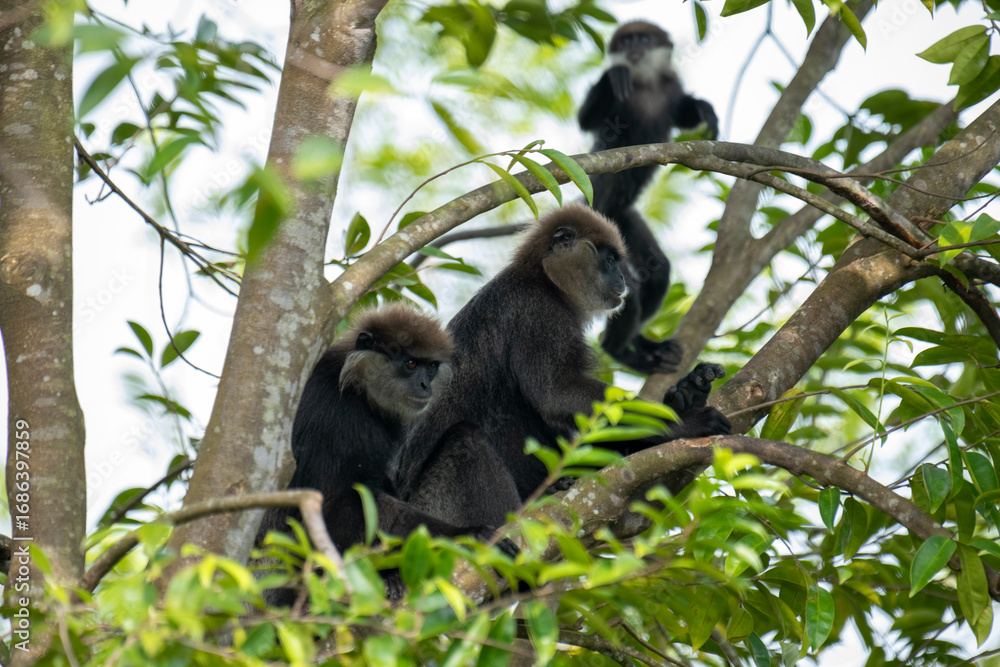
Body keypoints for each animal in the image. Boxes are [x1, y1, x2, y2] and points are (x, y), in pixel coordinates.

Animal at [255, 303, 514, 604]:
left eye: (431, 367)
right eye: (410, 364)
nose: (425, 386)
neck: (357, 390)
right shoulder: (333, 415)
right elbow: (344, 496)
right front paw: (468, 534)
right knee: (351, 499)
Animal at [389, 204, 731, 530]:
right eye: (610, 260)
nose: (623, 279)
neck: (544, 280)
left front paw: (687, 394)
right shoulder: (539, 314)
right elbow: (557, 394)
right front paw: (685, 421)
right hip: (435, 505)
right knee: (466, 442)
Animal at [578, 20, 719, 375]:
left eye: (642, 39)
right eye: (626, 41)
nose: (633, 49)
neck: (646, 84)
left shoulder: (670, 85)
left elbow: (684, 113)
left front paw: (703, 107)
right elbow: (587, 119)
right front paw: (613, 76)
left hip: (624, 220)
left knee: (658, 272)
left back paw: (644, 345)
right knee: (629, 293)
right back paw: (619, 351)